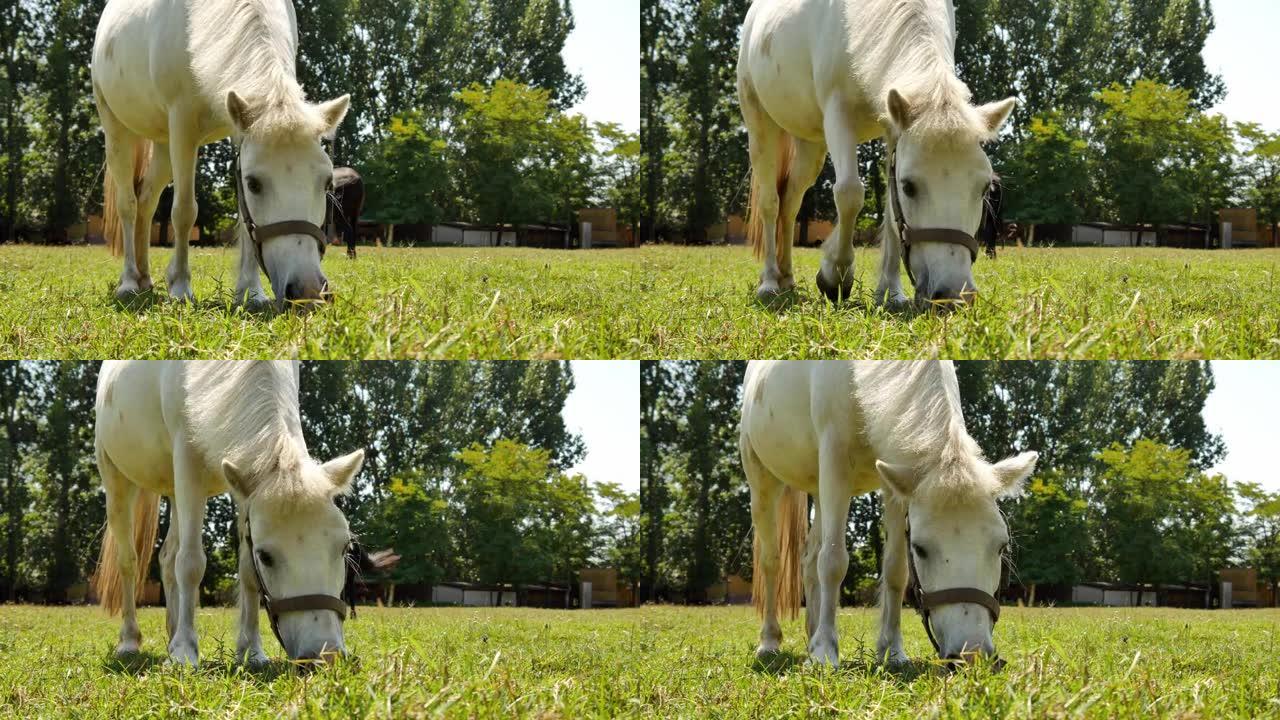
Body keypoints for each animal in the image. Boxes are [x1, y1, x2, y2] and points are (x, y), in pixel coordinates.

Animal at [90, 0, 353, 308]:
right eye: (254, 184)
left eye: (327, 183)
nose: (306, 291)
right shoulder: (182, 125)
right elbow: (184, 211)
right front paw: (180, 286)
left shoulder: (238, 127)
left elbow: (242, 214)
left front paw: (251, 291)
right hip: (117, 130)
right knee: (129, 205)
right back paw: (130, 281)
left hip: (164, 146)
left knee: (146, 201)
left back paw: (145, 278)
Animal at [93, 361, 366, 666]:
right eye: (266, 556)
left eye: (344, 548)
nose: (324, 655)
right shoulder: (188, 463)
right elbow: (190, 563)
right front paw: (184, 652)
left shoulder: (244, 485)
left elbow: (246, 572)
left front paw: (252, 651)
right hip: (117, 480)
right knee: (128, 562)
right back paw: (130, 640)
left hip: (175, 491)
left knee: (167, 557)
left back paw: (172, 632)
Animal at [742, 0, 1018, 304]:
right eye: (909, 187)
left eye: (984, 189)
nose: (952, 295)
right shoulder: (838, 114)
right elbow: (849, 194)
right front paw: (835, 276)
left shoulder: (892, 128)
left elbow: (889, 212)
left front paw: (892, 291)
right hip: (759, 125)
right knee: (771, 202)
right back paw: (770, 281)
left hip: (809, 146)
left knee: (790, 204)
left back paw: (787, 278)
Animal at [742, 361, 1039, 666]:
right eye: (920, 549)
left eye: (1001, 546)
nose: (972, 654)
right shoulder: (835, 461)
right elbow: (833, 561)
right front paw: (824, 652)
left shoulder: (894, 480)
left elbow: (896, 569)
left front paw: (893, 651)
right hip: (762, 481)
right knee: (772, 561)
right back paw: (770, 641)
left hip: (820, 489)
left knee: (811, 559)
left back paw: (811, 633)